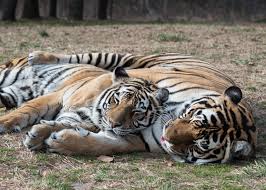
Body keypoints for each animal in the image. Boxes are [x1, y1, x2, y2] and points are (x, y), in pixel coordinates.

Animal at [0, 51, 256, 163]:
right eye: (193, 116)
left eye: (199, 145)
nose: (167, 136)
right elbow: (32, 109)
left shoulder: (132, 139)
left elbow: (97, 144)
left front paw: (56, 140)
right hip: (126, 60)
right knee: (82, 57)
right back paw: (37, 57)